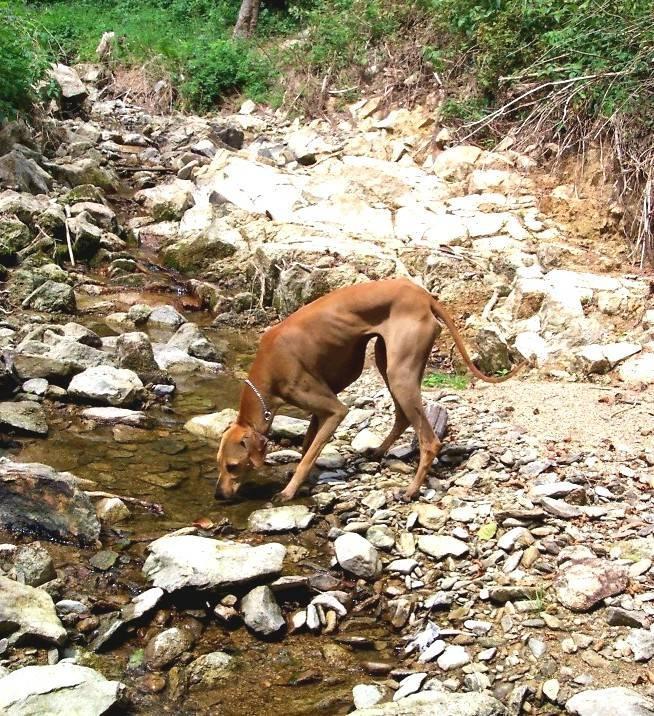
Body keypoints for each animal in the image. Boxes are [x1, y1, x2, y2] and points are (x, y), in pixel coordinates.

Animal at [219, 276, 524, 500]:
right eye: (219, 463)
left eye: (233, 466)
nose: (219, 495)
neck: (269, 369)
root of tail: (423, 294)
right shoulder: (318, 411)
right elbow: (307, 447)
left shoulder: (334, 410)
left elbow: (309, 454)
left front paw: (289, 491)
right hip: (387, 361)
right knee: (402, 417)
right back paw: (378, 452)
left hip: (399, 372)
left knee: (430, 441)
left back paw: (411, 490)